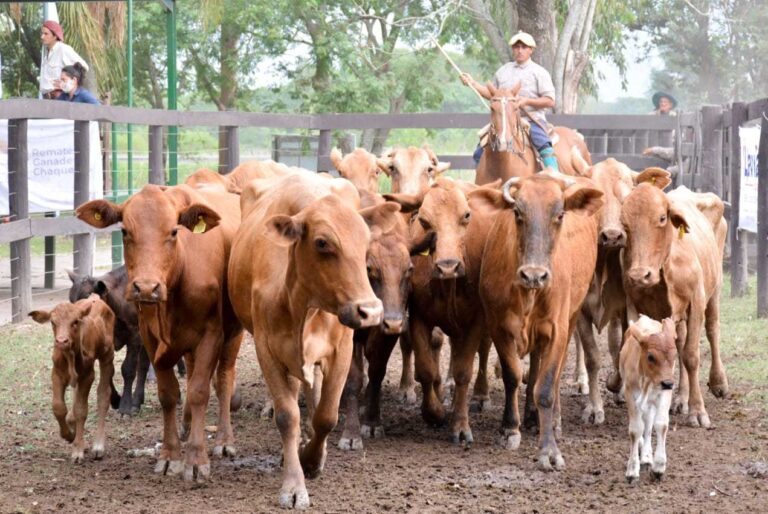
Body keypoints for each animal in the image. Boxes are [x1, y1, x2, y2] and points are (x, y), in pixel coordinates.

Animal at [31, 294, 118, 462]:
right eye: (53, 322)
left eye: (75, 321)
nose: (61, 341)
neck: (70, 355)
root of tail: (95, 297)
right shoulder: (56, 374)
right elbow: (58, 407)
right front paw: (69, 435)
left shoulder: (87, 376)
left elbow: (81, 410)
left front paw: (77, 449)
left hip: (107, 356)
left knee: (103, 395)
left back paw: (98, 446)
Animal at [228, 170, 400, 506]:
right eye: (322, 243)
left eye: (365, 243)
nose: (370, 311)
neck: (303, 304)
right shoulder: (267, 350)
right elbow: (287, 415)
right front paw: (294, 483)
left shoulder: (341, 350)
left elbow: (326, 415)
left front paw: (312, 459)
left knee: (313, 394)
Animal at [472, 173, 604, 468]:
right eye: (518, 213)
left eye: (560, 214)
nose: (534, 275)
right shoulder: (499, 327)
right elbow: (512, 375)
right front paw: (510, 428)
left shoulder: (557, 330)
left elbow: (545, 387)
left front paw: (549, 449)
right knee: (533, 366)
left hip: (573, 318)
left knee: (550, 376)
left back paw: (551, 421)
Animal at [616, 314, 680, 482]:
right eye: (651, 356)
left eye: (675, 355)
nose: (667, 383)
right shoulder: (630, 393)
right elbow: (635, 429)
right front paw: (632, 470)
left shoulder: (665, 393)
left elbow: (661, 424)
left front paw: (658, 466)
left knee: (649, 423)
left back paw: (646, 456)